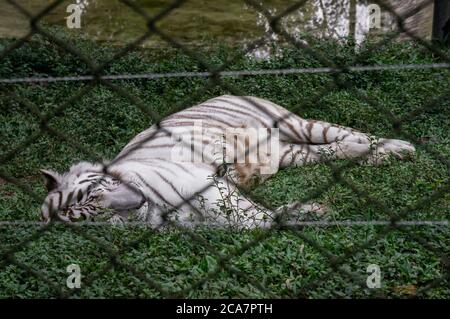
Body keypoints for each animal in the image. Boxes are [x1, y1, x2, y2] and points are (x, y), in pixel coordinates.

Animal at [39, 96, 414, 229]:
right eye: (92, 213)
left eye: (95, 194)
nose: (134, 202)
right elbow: (255, 221)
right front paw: (307, 213)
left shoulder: (204, 183)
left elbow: (247, 213)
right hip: (289, 152)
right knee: (332, 151)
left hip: (296, 124)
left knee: (350, 135)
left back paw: (400, 147)